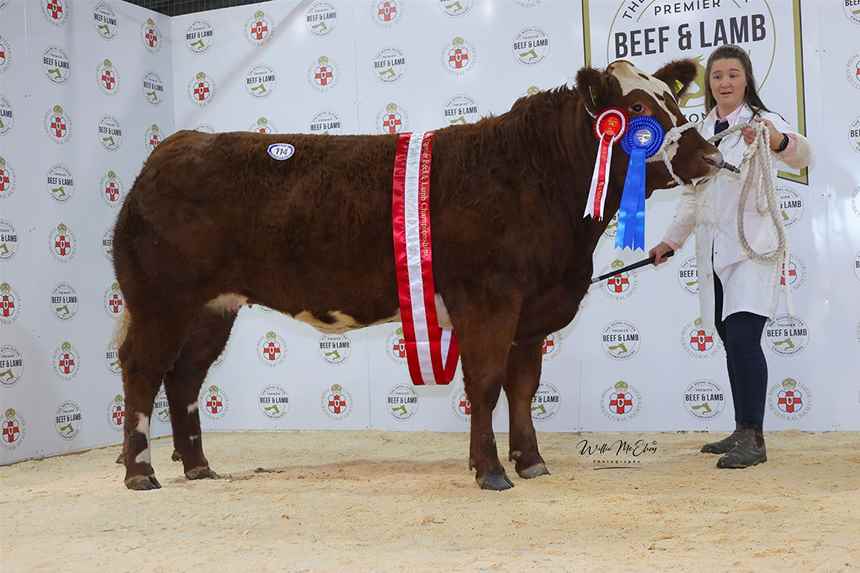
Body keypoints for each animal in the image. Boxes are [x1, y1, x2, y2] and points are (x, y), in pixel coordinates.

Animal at [112, 61, 720, 492]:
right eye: (638, 106)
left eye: (674, 100)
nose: (711, 156)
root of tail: (172, 147)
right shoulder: (488, 300)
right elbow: (486, 384)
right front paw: (489, 470)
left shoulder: (532, 313)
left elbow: (523, 387)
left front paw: (531, 461)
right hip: (161, 300)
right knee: (143, 370)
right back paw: (142, 472)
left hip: (213, 308)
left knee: (185, 377)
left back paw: (198, 467)